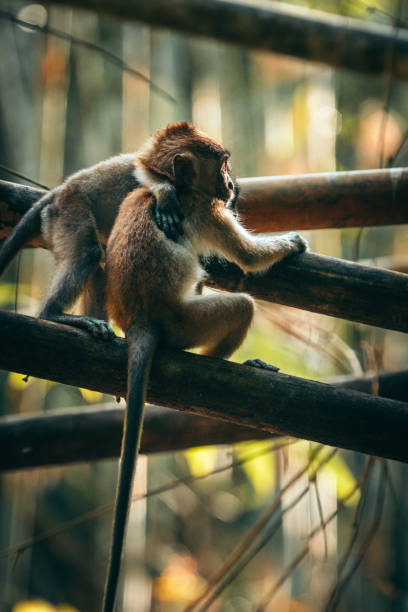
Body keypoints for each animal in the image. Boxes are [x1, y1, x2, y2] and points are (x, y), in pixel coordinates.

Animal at [0, 151, 184, 338]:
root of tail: (59, 192)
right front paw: (164, 192)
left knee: (100, 270)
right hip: (69, 209)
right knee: (88, 253)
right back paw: (52, 313)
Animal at [101, 120, 306, 612]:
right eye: (224, 166)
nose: (233, 184)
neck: (180, 190)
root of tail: (138, 322)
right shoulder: (209, 211)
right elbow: (249, 258)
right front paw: (292, 243)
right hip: (185, 323)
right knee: (240, 307)